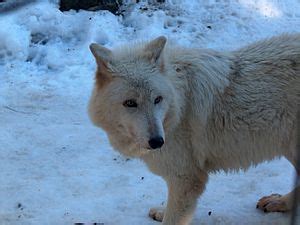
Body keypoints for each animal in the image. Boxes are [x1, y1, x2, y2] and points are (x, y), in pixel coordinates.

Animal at [88, 33, 300, 225]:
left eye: (157, 99)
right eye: (130, 103)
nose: (157, 142)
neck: (179, 103)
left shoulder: (187, 179)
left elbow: (173, 218)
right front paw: (162, 212)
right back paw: (279, 202)